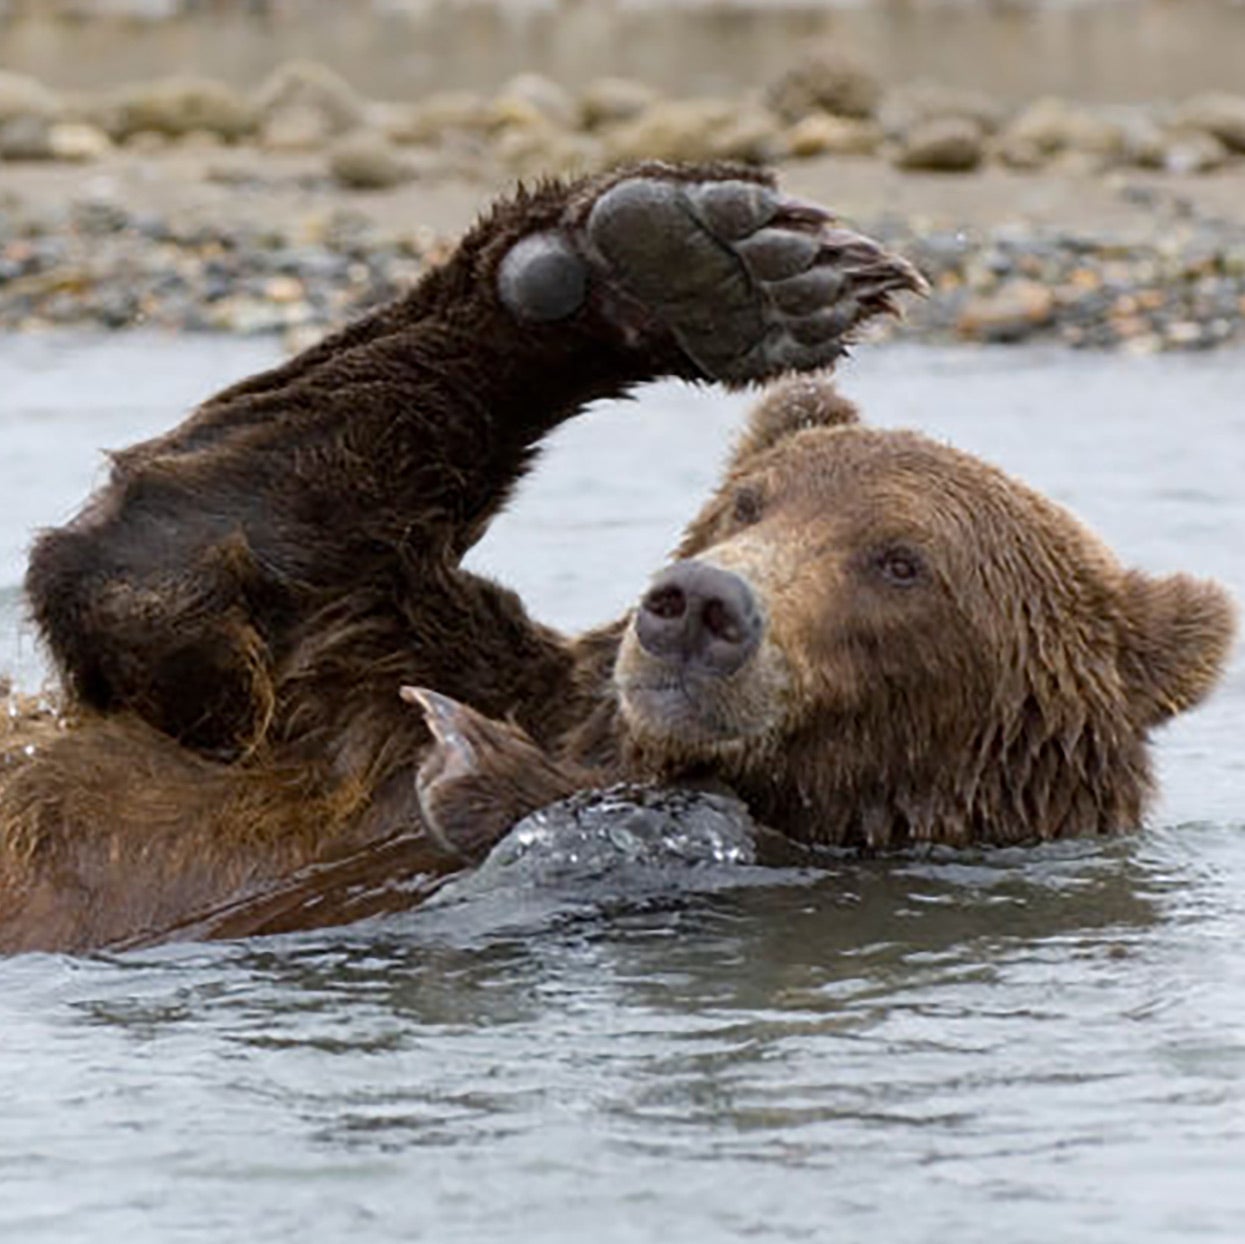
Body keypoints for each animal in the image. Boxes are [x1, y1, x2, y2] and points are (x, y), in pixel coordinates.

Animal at [0, 163, 1230, 951]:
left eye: (901, 563)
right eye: (745, 502)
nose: (697, 604)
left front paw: (495, 774)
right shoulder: (331, 689)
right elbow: (186, 554)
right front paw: (695, 260)